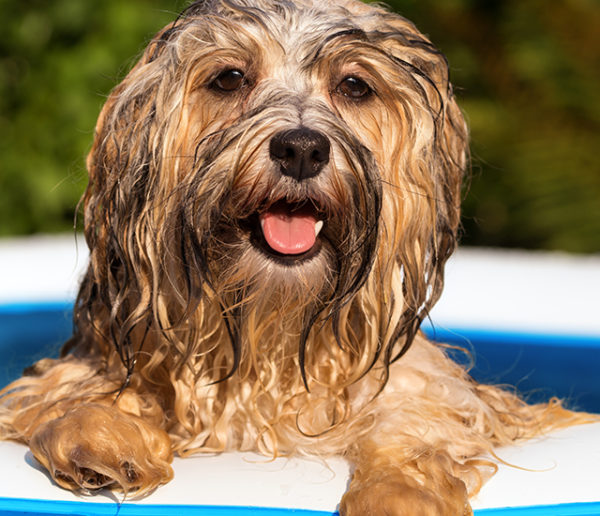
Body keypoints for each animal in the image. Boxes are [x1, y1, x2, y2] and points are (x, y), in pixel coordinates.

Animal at [0, 0, 580, 512]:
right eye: (229, 78)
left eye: (354, 85)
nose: (302, 148)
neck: (269, 329)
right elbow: (68, 392)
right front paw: (101, 436)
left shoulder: (426, 391)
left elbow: (419, 423)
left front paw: (401, 496)